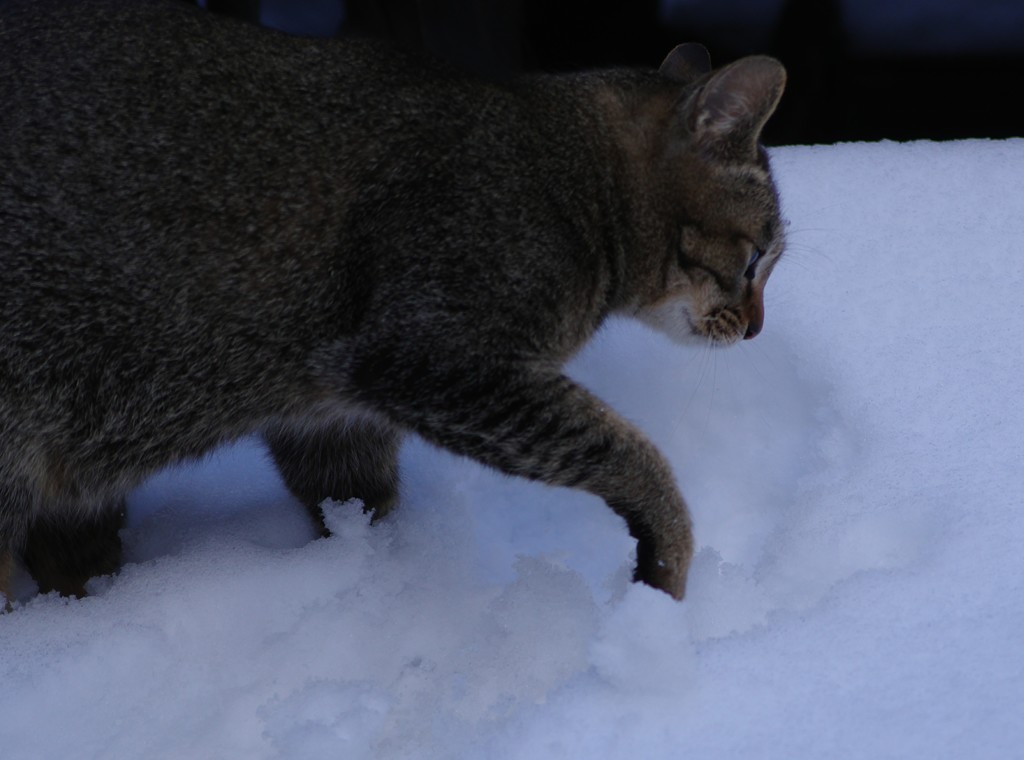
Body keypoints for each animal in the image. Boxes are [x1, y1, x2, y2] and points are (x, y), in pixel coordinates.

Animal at [0, 0, 786, 606]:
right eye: (755, 261)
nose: (754, 329)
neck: (576, 177)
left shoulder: (334, 418)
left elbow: (362, 511)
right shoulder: (435, 361)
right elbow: (633, 457)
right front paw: (669, 552)